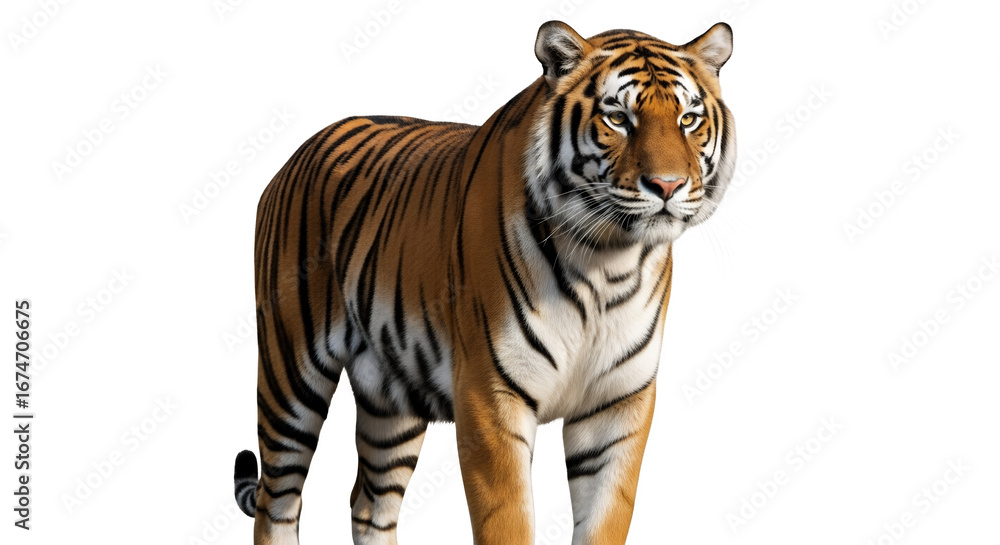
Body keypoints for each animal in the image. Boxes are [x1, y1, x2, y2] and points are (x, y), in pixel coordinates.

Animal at [233, 20, 735, 545]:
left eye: (688, 119)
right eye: (618, 117)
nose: (668, 185)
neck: (608, 262)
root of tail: (297, 154)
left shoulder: (617, 406)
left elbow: (604, 520)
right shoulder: (491, 396)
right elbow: (508, 520)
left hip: (391, 398)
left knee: (369, 503)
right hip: (290, 376)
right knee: (277, 503)